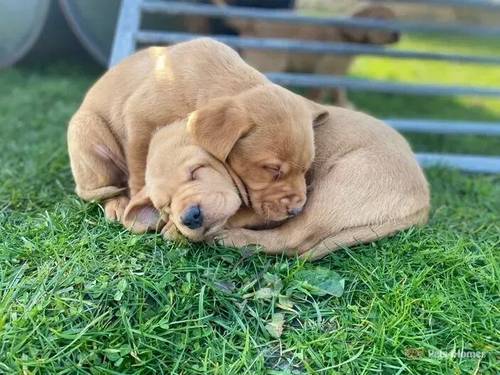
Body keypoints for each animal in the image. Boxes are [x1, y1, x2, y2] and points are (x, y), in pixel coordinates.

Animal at [69, 38, 328, 225]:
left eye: (306, 169)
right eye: (272, 169)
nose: (296, 210)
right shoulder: (138, 121)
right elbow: (139, 168)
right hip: (87, 132)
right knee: (102, 186)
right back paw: (117, 204)